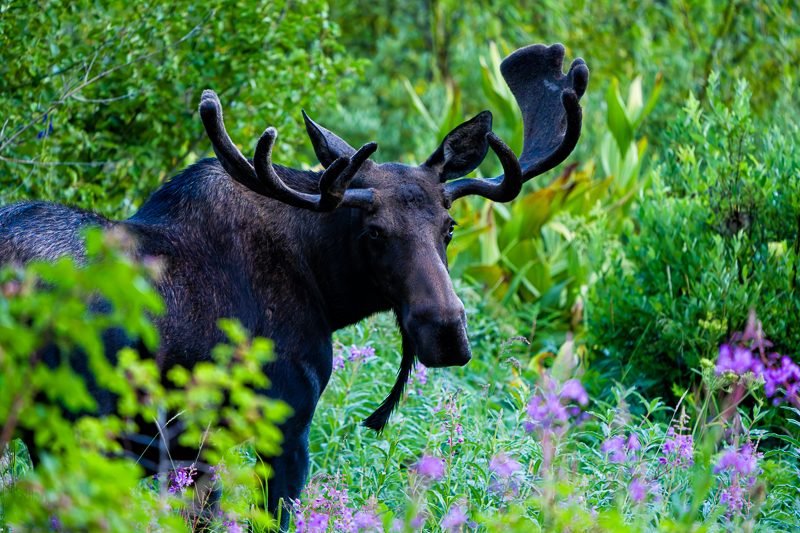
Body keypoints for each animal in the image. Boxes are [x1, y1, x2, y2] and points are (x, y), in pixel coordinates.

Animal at [0, 42, 588, 527]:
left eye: (449, 227)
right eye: (374, 231)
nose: (444, 331)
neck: (327, 291)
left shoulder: (190, 452)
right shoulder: (284, 421)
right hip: (74, 427)